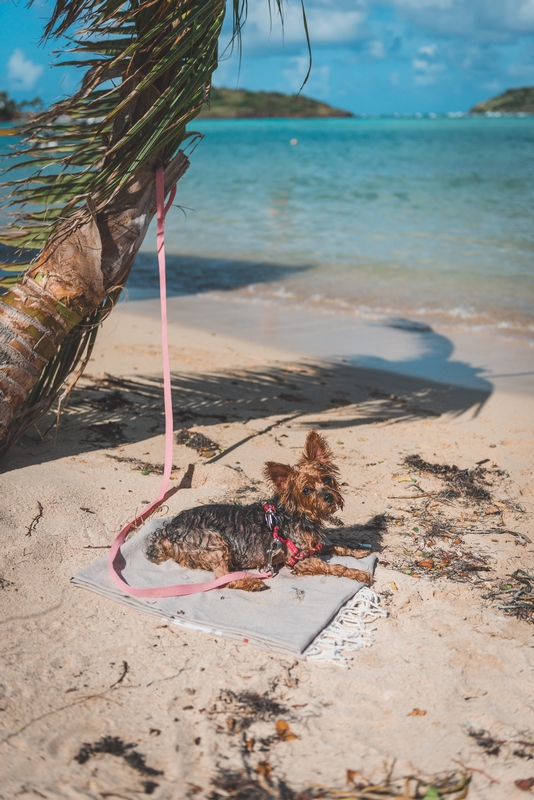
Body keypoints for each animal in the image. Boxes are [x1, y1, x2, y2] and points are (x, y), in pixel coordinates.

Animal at [144, 428, 374, 592]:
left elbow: (336, 545)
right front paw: (359, 574)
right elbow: (335, 567)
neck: (298, 515)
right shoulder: (301, 561)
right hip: (215, 542)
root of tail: (167, 531)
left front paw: (358, 550)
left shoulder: (315, 547)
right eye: (307, 490)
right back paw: (251, 583)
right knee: (222, 579)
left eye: (326, 479)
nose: (328, 496)